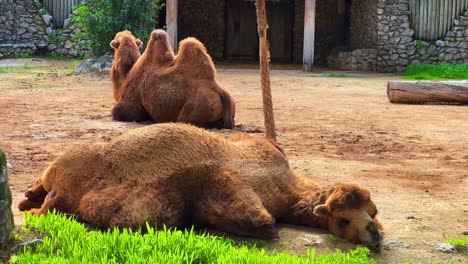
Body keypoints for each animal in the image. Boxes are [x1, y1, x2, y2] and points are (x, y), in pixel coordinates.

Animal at [19, 123, 384, 252]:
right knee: (51, 202)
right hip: (64, 178)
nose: (375, 234)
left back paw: (26, 200)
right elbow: (263, 222)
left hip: (58, 182)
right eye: (343, 219)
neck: (288, 187)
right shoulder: (233, 185)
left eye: (373, 211)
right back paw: (31, 207)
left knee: (44, 193)